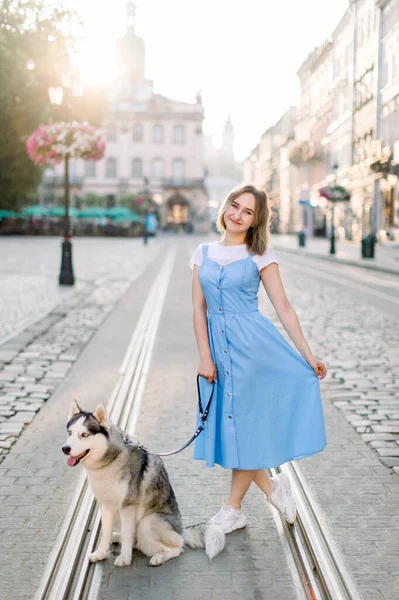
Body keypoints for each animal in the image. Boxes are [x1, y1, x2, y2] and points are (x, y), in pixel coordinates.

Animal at [62, 404, 225, 568]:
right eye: (70, 433)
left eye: (84, 435)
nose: (65, 449)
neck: (109, 461)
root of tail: (181, 531)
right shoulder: (106, 506)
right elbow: (106, 533)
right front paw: (101, 553)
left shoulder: (127, 506)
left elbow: (127, 535)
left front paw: (124, 558)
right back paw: (117, 537)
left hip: (148, 523)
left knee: (178, 547)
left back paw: (159, 557)